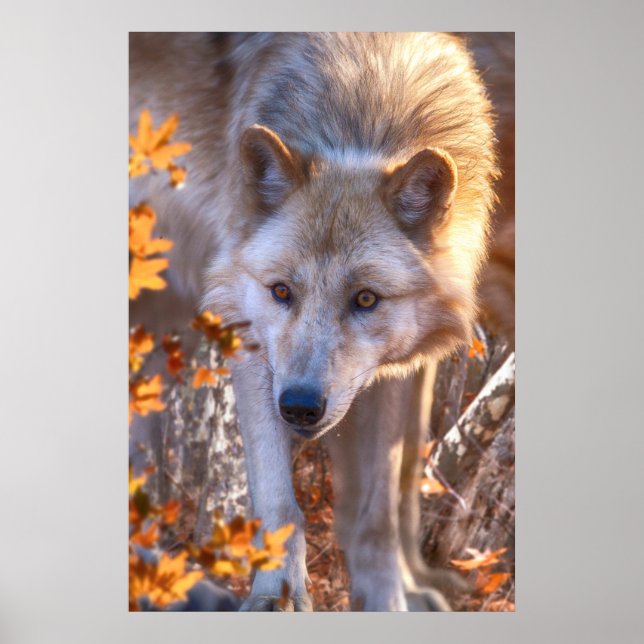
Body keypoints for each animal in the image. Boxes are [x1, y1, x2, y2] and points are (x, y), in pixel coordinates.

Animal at [130, 32, 499, 611]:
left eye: (365, 299)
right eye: (281, 291)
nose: (300, 406)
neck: (364, 108)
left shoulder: (395, 375)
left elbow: (380, 507)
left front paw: (387, 600)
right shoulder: (252, 343)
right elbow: (280, 505)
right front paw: (275, 599)